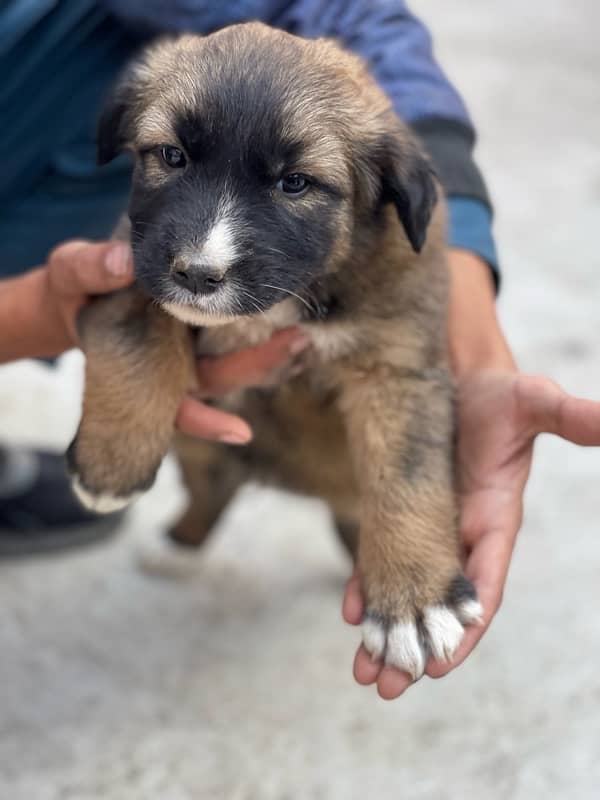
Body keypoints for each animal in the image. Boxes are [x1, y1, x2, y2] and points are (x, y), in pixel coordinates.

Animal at [69, 21, 482, 680]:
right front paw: (111, 466)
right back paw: (177, 545)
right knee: (214, 486)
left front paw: (415, 601)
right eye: (172, 155)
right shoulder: (125, 264)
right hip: (199, 443)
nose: (197, 274)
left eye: (296, 183)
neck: (295, 297)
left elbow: (406, 473)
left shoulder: (397, 365)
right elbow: (138, 338)